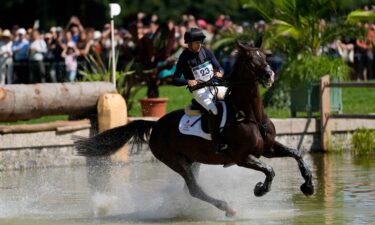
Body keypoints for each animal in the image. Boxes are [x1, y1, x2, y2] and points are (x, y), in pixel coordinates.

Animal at [75, 41, 316, 217]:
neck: (250, 114)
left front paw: (309, 187)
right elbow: (269, 170)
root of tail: (156, 124)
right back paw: (227, 208)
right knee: (194, 188)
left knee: (190, 188)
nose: (269, 75)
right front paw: (260, 189)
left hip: (193, 160)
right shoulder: (242, 158)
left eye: (265, 57)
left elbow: (296, 154)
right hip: (175, 160)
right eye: (250, 60)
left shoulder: (268, 148)